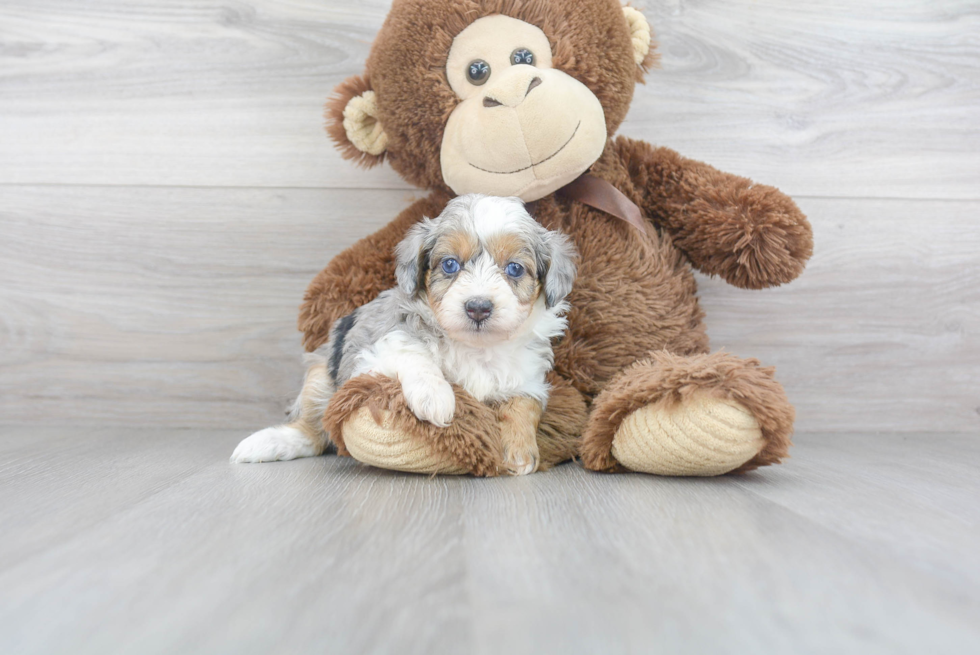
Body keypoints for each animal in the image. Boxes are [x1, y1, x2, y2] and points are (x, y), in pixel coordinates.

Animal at [233, 195, 580, 476]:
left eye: (515, 269)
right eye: (450, 264)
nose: (478, 308)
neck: (476, 347)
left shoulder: (528, 376)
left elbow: (523, 404)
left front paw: (519, 449)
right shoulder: (375, 348)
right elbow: (412, 354)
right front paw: (435, 396)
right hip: (320, 375)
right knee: (312, 430)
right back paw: (267, 443)